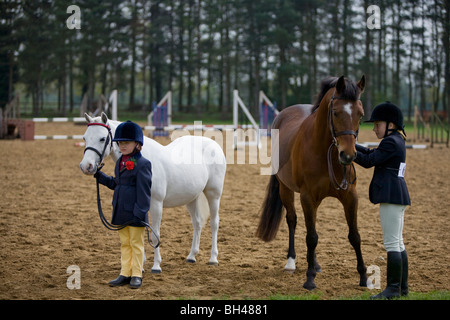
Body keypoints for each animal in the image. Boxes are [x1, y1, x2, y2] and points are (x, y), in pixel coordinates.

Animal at [79, 112, 227, 272]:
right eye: (85, 138)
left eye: (102, 138)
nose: (86, 166)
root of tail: (214, 145)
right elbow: (139, 232)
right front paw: (140, 265)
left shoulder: (156, 204)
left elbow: (155, 235)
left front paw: (156, 266)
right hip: (191, 198)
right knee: (197, 223)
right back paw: (192, 256)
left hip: (214, 194)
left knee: (214, 223)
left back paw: (213, 258)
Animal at [256, 75, 370, 290]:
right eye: (335, 112)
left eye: (360, 114)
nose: (348, 155)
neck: (324, 151)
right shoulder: (308, 198)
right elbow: (311, 237)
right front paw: (309, 279)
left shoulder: (350, 197)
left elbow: (354, 235)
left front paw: (363, 276)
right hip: (285, 189)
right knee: (292, 220)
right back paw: (291, 261)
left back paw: (315, 263)